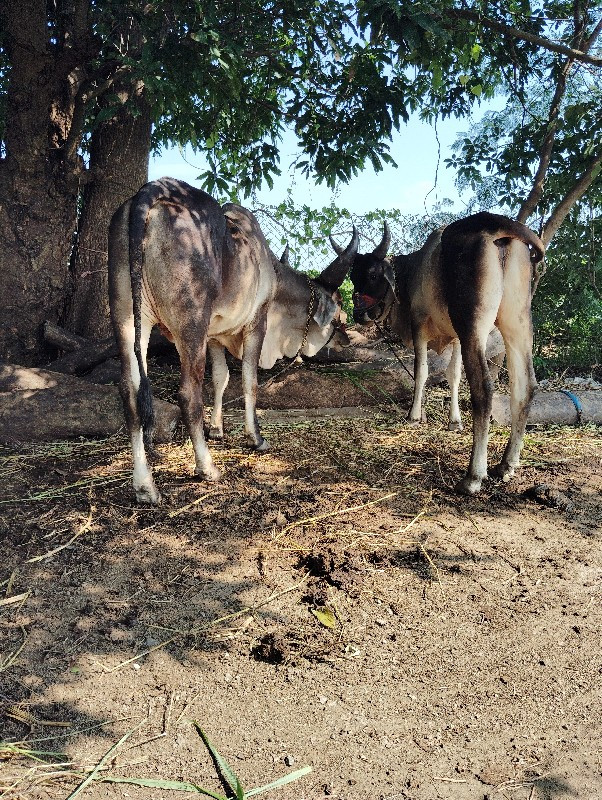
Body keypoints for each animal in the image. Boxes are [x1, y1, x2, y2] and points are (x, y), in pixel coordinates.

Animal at [108, 178, 356, 504]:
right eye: (338, 308)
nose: (346, 338)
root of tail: (151, 190)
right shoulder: (257, 324)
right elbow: (250, 381)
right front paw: (256, 438)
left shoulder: (214, 335)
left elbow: (221, 378)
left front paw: (217, 429)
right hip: (191, 323)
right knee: (188, 394)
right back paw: (207, 468)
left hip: (127, 317)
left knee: (130, 392)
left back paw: (145, 486)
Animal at [328, 214, 544, 494]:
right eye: (353, 276)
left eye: (374, 275)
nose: (359, 313)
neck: (414, 267)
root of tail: (496, 224)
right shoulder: (456, 338)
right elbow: (453, 376)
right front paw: (454, 422)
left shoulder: (419, 325)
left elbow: (421, 372)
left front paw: (414, 415)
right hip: (517, 323)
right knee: (525, 386)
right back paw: (507, 464)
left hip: (473, 326)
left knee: (483, 389)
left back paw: (474, 476)